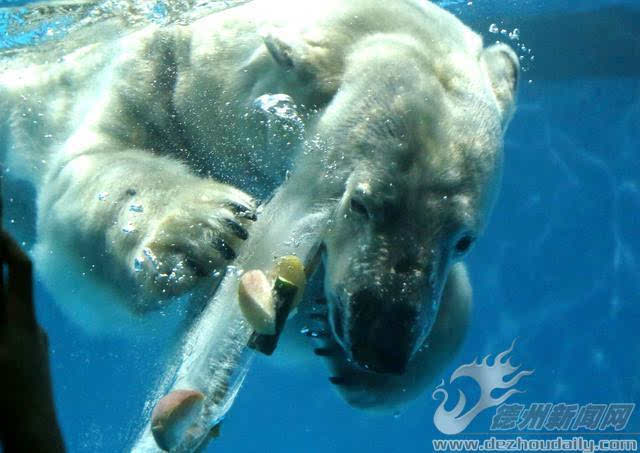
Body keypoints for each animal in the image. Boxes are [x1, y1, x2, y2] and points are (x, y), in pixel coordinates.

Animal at [0, 0, 516, 410]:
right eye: (361, 203)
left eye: (464, 239)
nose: (380, 347)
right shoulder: (150, 74)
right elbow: (88, 170)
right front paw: (208, 227)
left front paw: (354, 363)